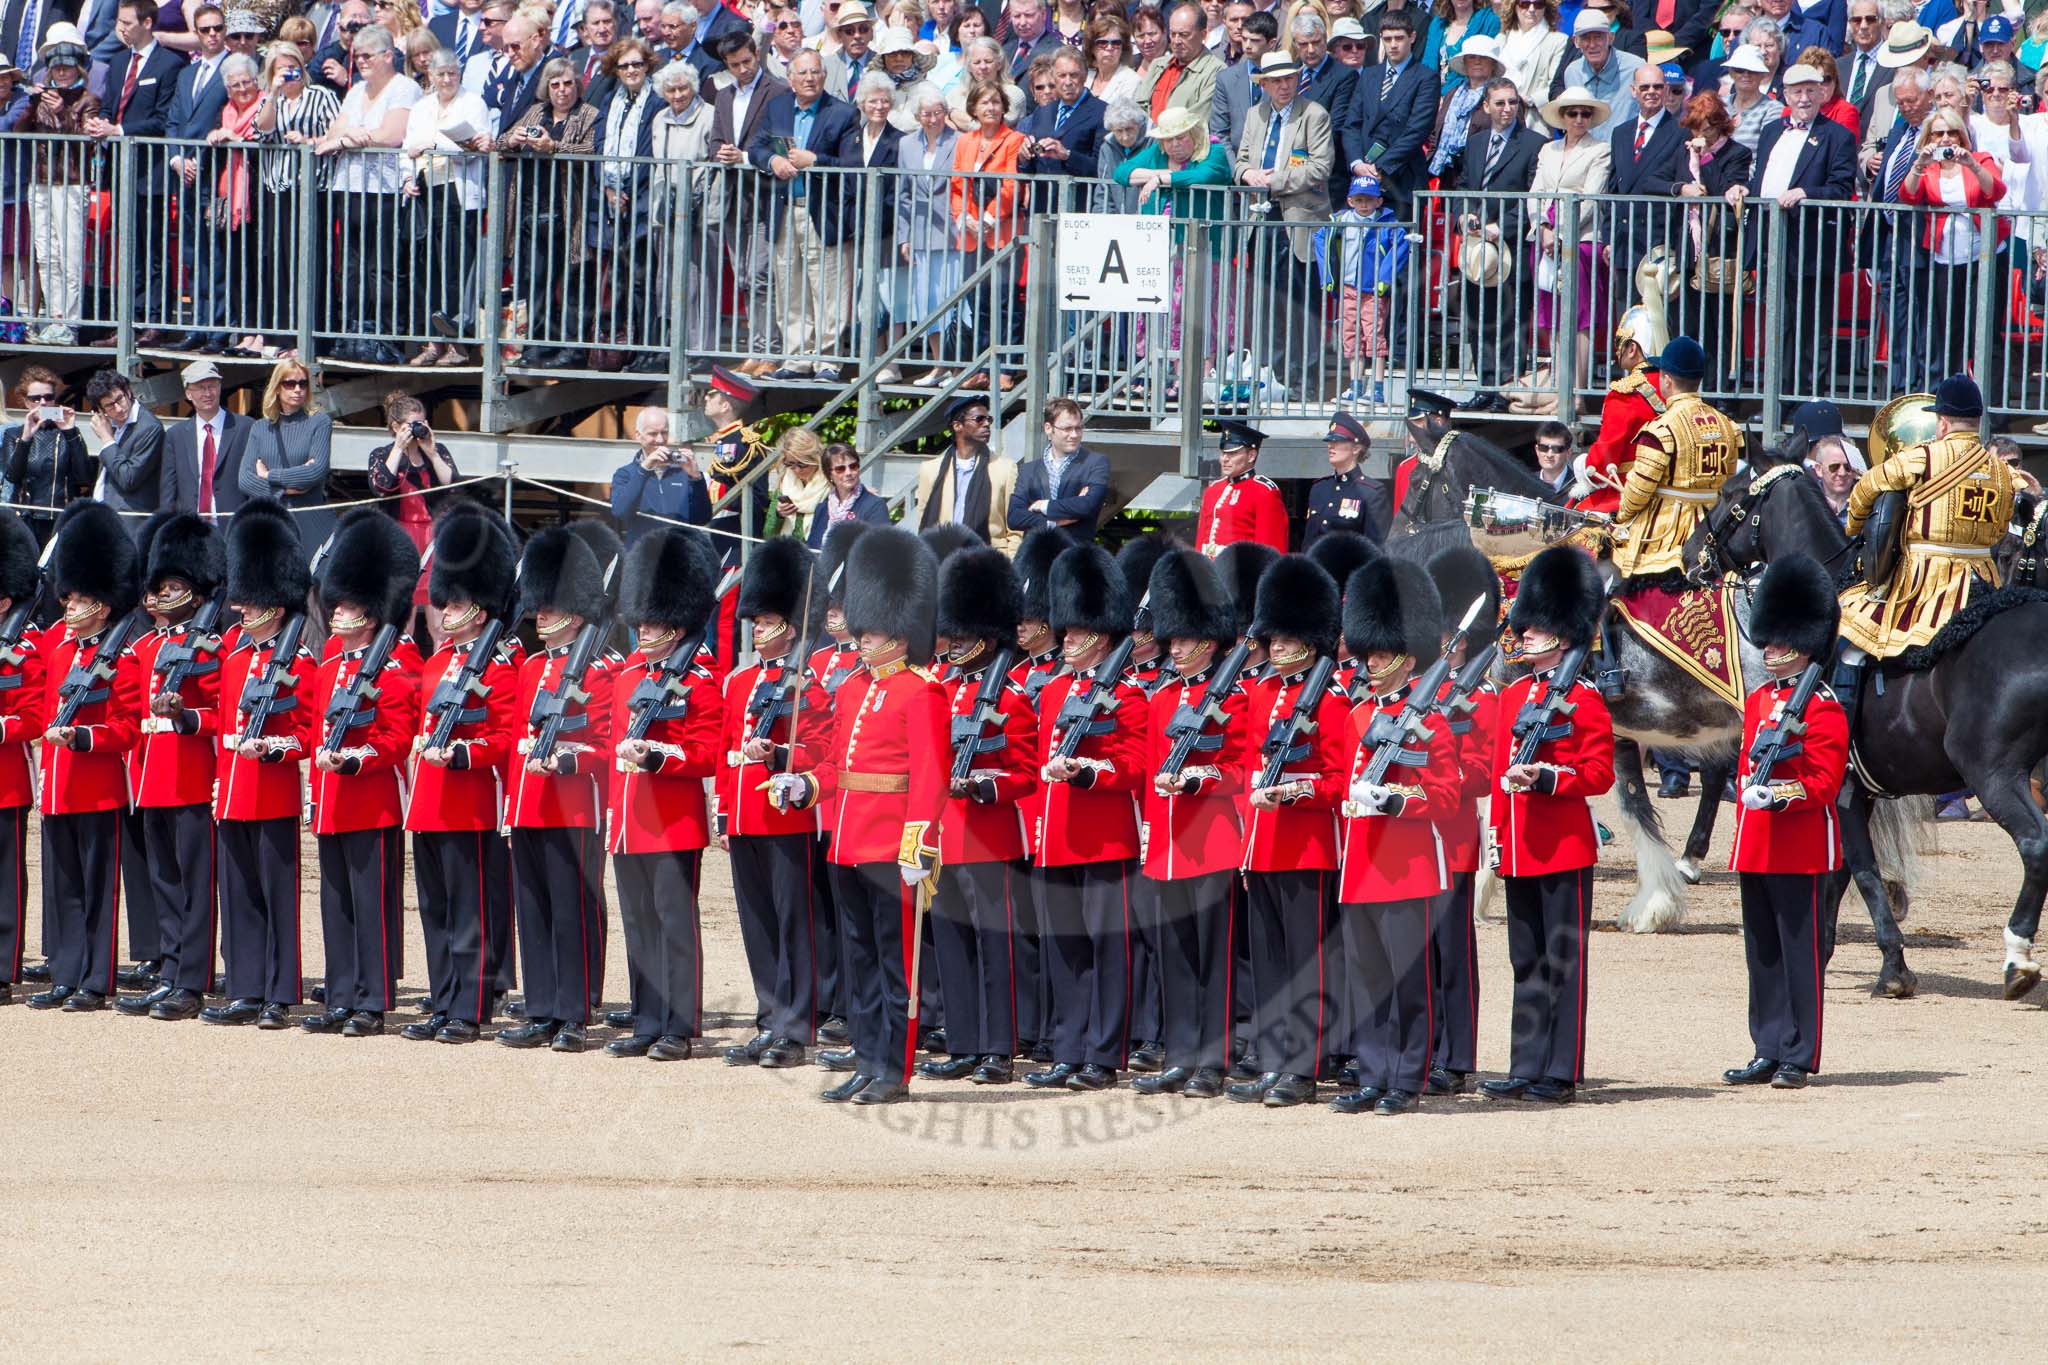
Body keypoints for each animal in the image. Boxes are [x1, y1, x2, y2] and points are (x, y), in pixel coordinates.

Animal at [1385, 424, 1757, 934]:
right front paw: (1654, 902)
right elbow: (1632, 803)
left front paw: (1482, 883)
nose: (1391, 533)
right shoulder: (1614, 728)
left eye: (1418, 480)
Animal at [1693, 458, 2048, 1001]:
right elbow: (1840, 874)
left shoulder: (1842, 790)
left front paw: (1892, 967)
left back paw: (2018, 960)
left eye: (1731, 493)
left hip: (1995, 775)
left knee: (2034, 845)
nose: (1691, 553)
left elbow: (1861, 871)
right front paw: (1822, 954)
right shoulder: (1857, 791)